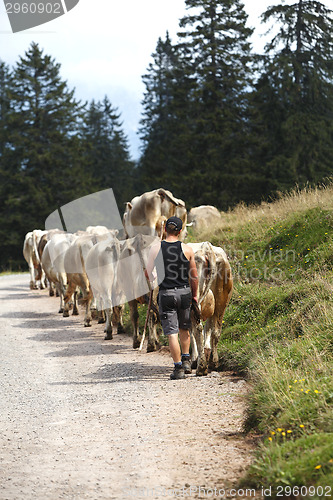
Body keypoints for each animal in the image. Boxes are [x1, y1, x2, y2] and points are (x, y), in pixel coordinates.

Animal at [187, 241, 231, 376]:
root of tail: (207, 248)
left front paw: (193, 360)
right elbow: (209, 328)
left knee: (197, 329)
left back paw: (201, 367)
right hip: (222, 300)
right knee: (216, 330)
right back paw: (213, 362)